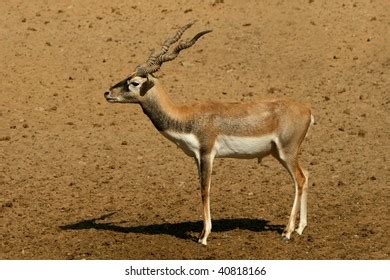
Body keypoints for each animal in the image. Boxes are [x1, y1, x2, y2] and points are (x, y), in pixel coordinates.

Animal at [103, 21, 314, 245]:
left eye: (134, 82)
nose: (107, 93)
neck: (186, 116)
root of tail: (307, 110)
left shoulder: (207, 153)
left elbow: (205, 190)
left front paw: (203, 236)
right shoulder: (196, 157)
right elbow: (201, 189)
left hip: (286, 152)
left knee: (299, 179)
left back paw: (287, 232)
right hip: (279, 154)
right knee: (306, 175)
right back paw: (300, 228)